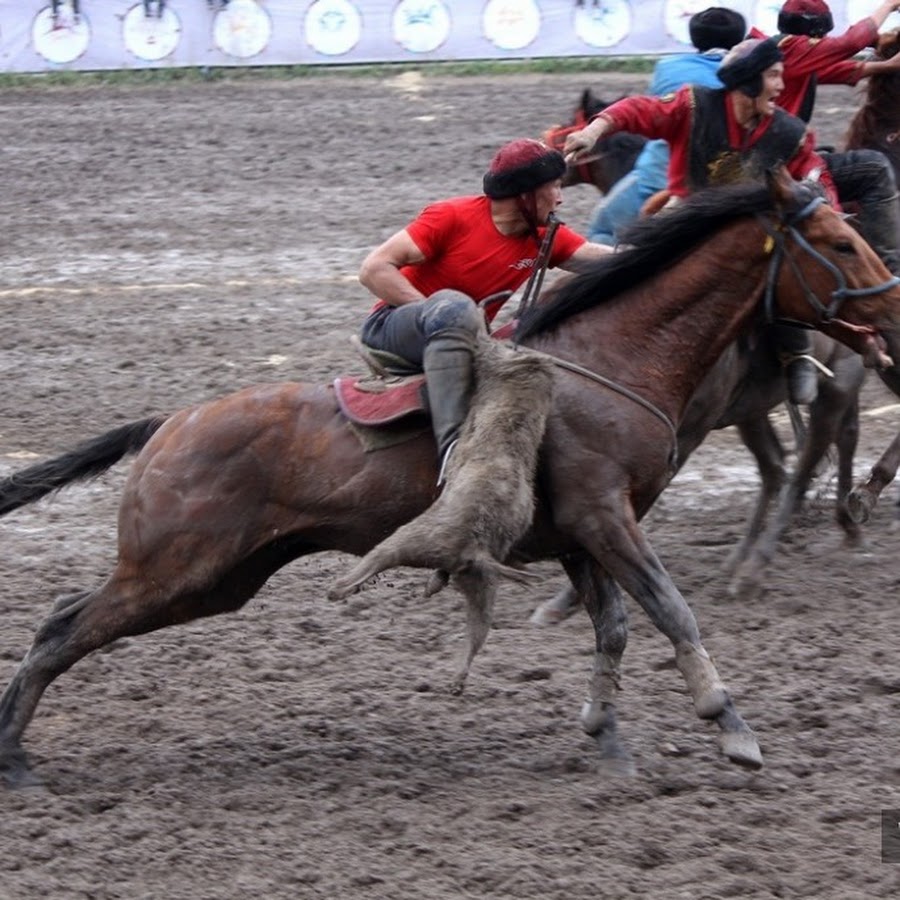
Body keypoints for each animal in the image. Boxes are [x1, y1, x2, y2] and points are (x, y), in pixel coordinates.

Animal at [1, 171, 900, 788]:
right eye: (841, 242)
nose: (891, 313)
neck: (608, 363)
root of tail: (171, 423)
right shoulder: (607, 520)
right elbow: (672, 611)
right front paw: (732, 727)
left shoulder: (579, 537)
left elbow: (613, 628)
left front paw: (606, 736)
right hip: (175, 569)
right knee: (60, 628)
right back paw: (13, 759)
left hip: (218, 579)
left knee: (65, 615)